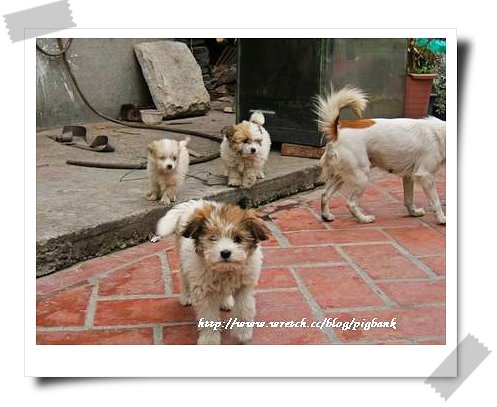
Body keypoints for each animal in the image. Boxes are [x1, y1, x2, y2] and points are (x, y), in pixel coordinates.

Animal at [156, 199, 272, 344]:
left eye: (237, 239)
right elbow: (209, 317)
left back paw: (226, 301)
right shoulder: (204, 292)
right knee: (183, 277)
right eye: (213, 238)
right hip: (183, 261)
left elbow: (244, 309)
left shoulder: (244, 287)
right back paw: (186, 297)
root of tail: (194, 203)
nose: (225, 253)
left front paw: (242, 333)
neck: (224, 271)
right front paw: (209, 339)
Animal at [315, 85, 446, 224]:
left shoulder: (408, 176)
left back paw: (326, 216)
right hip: (361, 176)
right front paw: (441, 218)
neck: (441, 134)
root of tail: (338, 132)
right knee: (351, 203)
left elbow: (408, 198)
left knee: (324, 195)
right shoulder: (426, 176)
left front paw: (413, 212)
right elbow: (436, 201)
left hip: (341, 175)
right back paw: (364, 218)